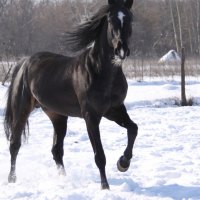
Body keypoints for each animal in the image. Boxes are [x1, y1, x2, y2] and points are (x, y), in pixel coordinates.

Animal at [3, 0, 138, 189]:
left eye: (129, 19)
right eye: (111, 19)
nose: (122, 50)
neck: (101, 72)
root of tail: (24, 62)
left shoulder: (115, 110)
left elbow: (133, 129)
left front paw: (123, 163)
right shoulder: (91, 116)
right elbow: (99, 155)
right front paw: (105, 187)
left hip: (58, 116)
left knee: (56, 150)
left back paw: (63, 179)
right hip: (22, 109)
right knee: (15, 144)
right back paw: (12, 179)